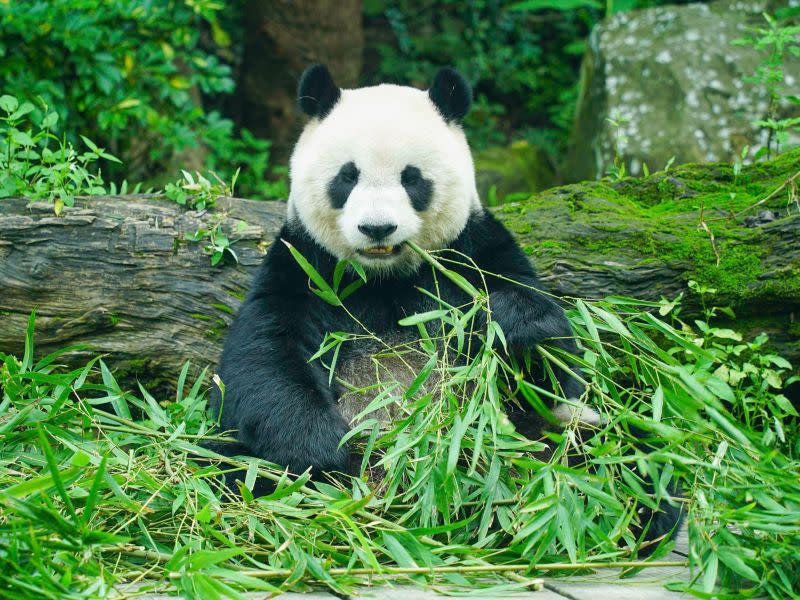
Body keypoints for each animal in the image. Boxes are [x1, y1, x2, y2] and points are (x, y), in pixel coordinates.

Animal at [208, 65, 680, 544]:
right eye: (347, 176)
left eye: (412, 178)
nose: (377, 228)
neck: (384, 278)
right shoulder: (305, 266)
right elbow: (264, 357)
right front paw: (323, 447)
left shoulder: (474, 251)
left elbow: (553, 365)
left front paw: (509, 322)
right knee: (226, 470)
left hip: (550, 436)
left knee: (630, 456)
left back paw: (638, 518)